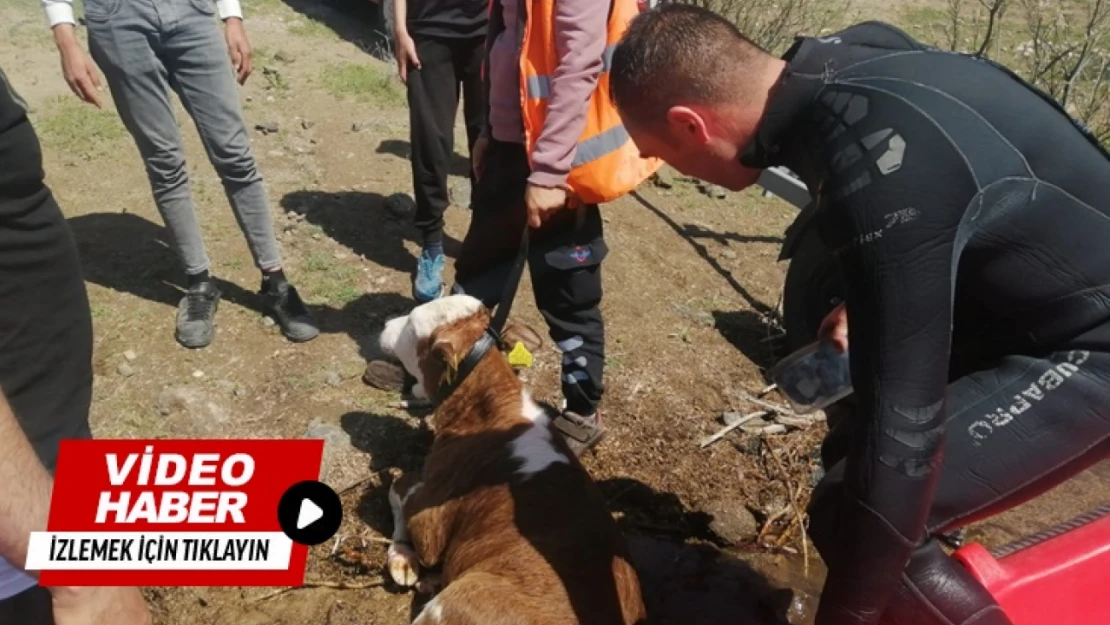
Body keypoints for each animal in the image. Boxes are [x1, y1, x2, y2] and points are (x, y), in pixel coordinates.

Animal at [379, 297, 648, 625]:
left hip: (461, 598)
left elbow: (398, 487)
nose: (386, 324)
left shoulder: (432, 521)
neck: (488, 409)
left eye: (410, 325)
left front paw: (402, 556)